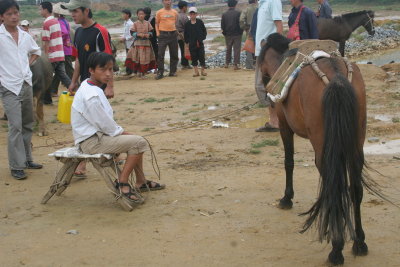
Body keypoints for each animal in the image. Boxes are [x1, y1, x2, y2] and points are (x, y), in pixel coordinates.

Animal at [258, 33, 370, 266]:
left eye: (260, 62)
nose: (266, 95)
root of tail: (337, 79)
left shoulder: (284, 125)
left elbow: (288, 162)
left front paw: (286, 198)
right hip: (356, 144)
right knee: (355, 189)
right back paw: (359, 242)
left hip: (324, 148)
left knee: (334, 188)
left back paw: (336, 249)